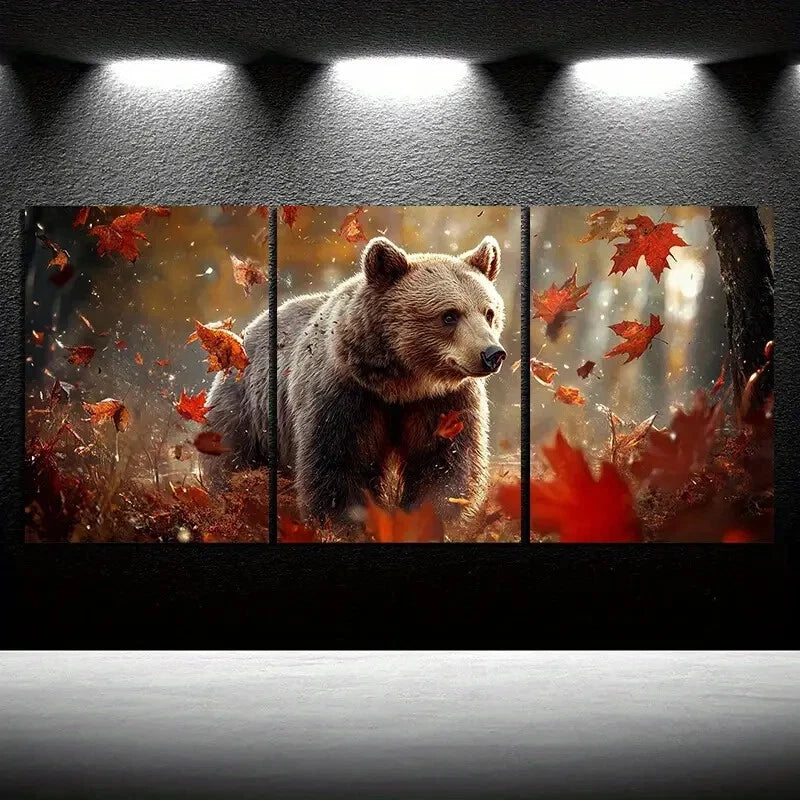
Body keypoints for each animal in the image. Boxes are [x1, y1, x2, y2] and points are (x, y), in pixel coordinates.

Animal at [202, 234, 507, 538]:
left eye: (489, 312)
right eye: (449, 315)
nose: (492, 354)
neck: (401, 384)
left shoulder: (444, 402)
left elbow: (444, 466)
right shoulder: (345, 395)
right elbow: (339, 466)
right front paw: (345, 525)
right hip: (247, 409)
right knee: (231, 460)